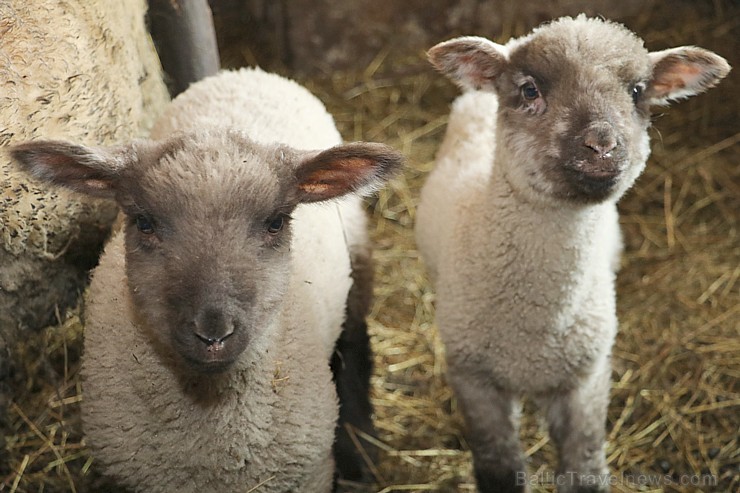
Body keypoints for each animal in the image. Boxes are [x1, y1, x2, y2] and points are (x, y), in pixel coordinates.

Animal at [414, 15, 732, 492]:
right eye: (530, 90)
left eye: (637, 91)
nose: (601, 144)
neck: (535, 328)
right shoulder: (474, 381)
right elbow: (500, 470)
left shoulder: (587, 381)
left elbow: (584, 472)